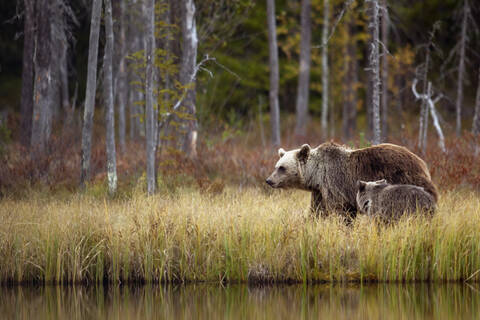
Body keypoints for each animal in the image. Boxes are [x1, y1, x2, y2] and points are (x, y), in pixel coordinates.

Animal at [266, 142, 438, 220]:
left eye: (282, 168)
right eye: (276, 166)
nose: (269, 180)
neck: (316, 174)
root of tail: (422, 162)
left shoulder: (335, 184)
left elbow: (343, 212)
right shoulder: (320, 191)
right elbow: (317, 211)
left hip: (407, 181)